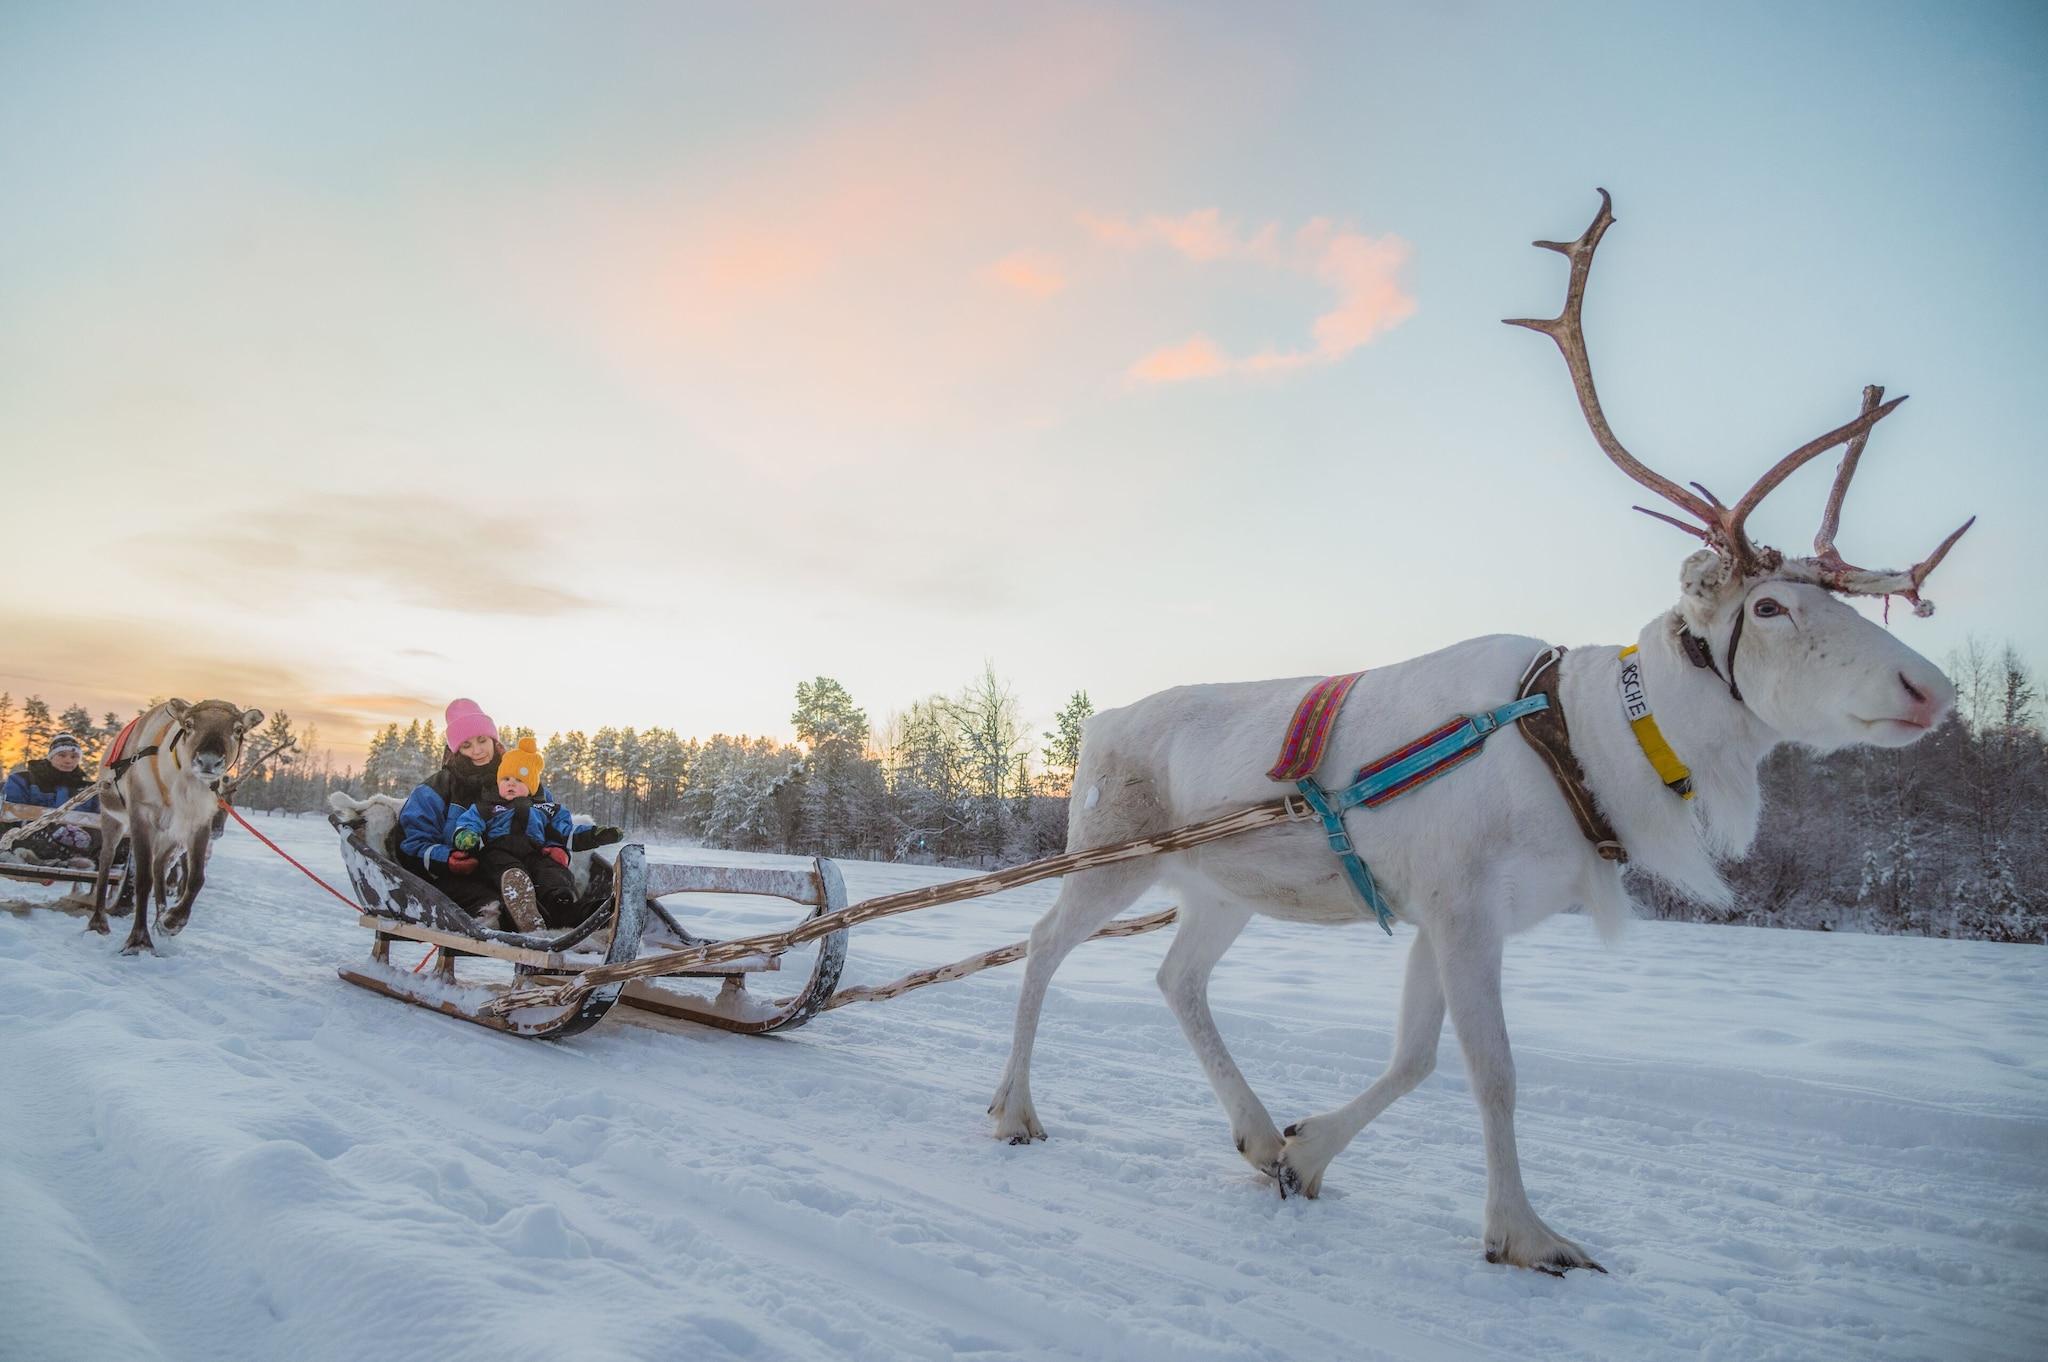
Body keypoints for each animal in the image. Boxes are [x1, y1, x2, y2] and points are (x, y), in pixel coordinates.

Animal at [88, 698, 265, 955]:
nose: (208, 761)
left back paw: (160, 916)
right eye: (188, 724)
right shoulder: (141, 816)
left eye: (238, 729)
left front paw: (172, 921)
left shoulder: (197, 823)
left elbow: (196, 877)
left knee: (160, 866)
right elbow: (142, 880)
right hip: (113, 818)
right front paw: (138, 940)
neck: (182, 787)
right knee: (105, 862)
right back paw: (98, 922)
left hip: (170, 835)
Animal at [988, 190, 1972, 1275]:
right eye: (1767, 608)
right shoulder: (1460, 907)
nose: (1930, 688)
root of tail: (1102, 720)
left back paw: (1249, 1132)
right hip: (1111, 855)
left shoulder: (1448, 915)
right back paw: (1014, 1110)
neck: (1588, 742)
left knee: (1176, 977)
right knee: (1040, 942)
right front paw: (1524, 1233)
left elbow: (1415, 1057)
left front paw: (1303, 1151)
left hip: (1220, 888)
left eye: (1835, 600)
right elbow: (1490, 1070)